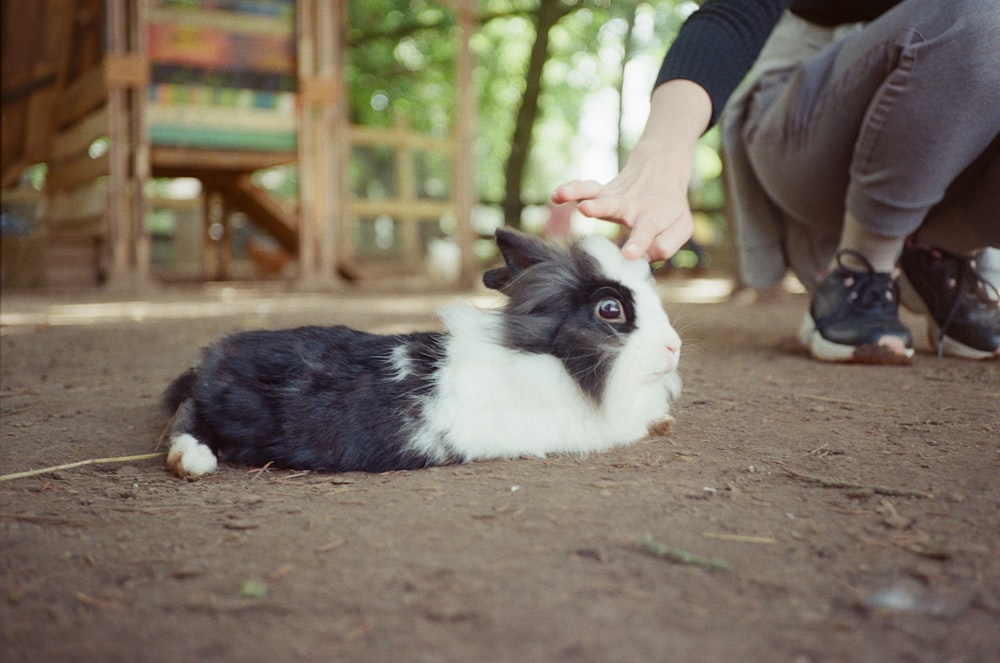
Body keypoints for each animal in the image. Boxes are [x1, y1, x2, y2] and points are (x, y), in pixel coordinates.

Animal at [164, 228, 684, 478]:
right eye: (611, 309)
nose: (674, 347)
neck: (555, 360)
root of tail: (214, 359)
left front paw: (665, 420)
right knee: (186, 423)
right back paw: (193, 463)